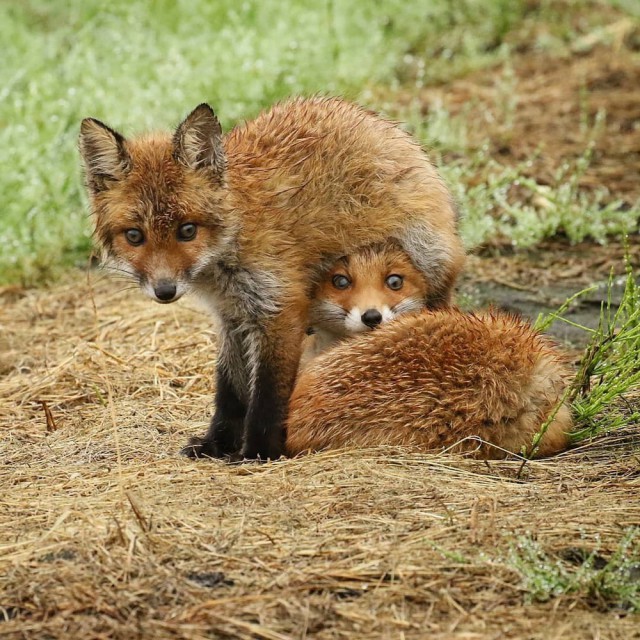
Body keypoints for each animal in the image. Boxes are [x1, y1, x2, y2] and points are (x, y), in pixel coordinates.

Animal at [80, 95, 464, 460]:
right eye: (134, 236)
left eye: (187, 230)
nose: (164, 290)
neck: (227, 249)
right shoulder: (231, 316)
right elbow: (230, 391)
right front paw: (217, 444)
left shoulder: (279, 308)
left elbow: (267, 395)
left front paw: (257, 453)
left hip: (427, 270)